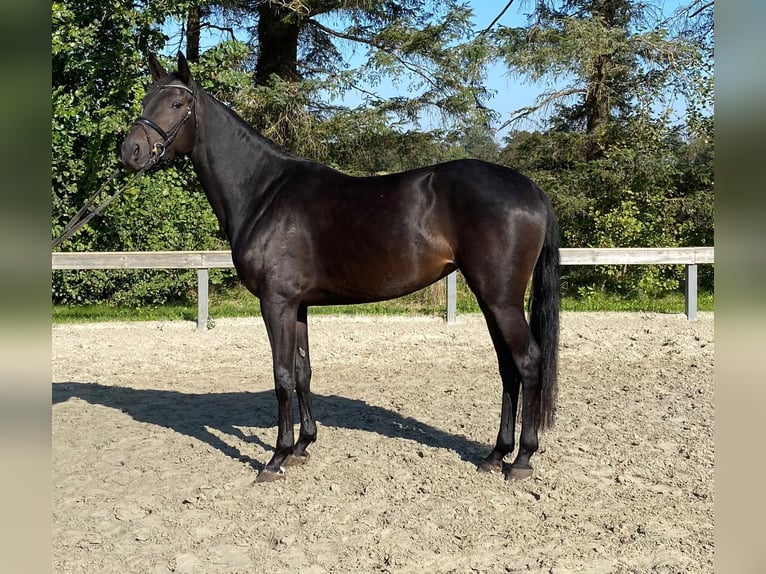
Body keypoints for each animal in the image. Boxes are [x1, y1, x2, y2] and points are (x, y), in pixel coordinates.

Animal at [121, 53, 564, 486]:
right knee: (508, 368)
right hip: (491, 299)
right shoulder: (297, 305)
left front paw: (276, 458)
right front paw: (302, 446)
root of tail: (531, 189)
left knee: (528, 362)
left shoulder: (276, 302)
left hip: (500, 298)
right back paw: (495, 454)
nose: (130, 151)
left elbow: (282, 375)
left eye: (176, 104)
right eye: (145, 99)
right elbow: (303, 371)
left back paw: (521, 459)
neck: (264, 192)